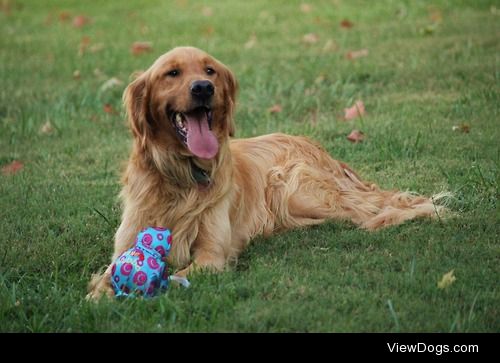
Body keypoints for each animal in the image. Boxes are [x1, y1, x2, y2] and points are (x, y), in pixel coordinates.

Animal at [87, 47, 446, 300]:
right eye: (171, 73)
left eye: (209, 70)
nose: (203, 87)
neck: (181, 177)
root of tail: (319, 147)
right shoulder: (125, 245)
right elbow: (104, 278)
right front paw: (100, 295)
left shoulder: (212, 254)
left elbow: (178, 277)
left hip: (295, 188)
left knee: (369, 208)